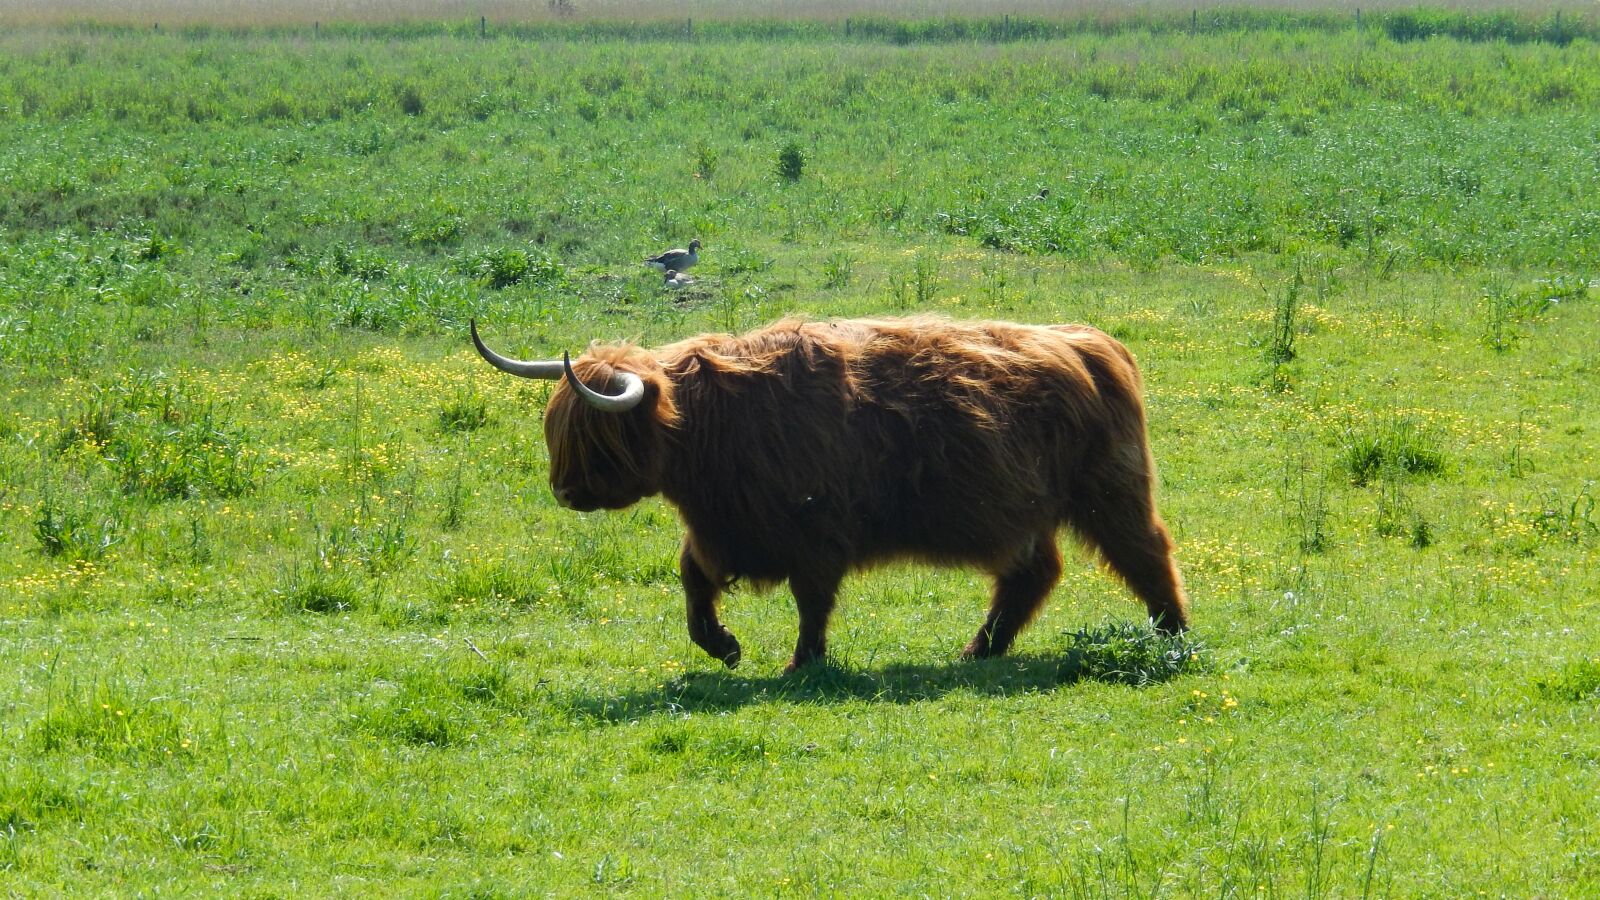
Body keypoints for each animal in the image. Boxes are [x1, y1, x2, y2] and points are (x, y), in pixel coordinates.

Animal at [467, 312, 1184, 669]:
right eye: (558, 430)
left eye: (598, 436)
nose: (564, 492)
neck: (710, 428)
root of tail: (1093, 343)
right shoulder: (722, 531)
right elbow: (693, 582)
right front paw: (723, 646)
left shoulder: (817, 534)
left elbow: (811, 602)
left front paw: (802, 663)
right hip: (1028, 511)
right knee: (1034, 573)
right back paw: (980, 650)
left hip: (1110, 488)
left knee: (1145, 552)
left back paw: (1172, 635)